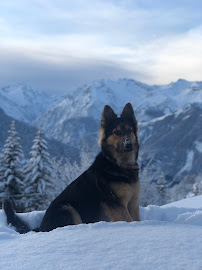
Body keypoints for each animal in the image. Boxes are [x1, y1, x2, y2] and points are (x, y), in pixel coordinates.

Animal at [2, 102, 140, 233]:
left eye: (129, 131)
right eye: (117, 132)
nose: (128, 144)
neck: (118, 165)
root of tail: (41, 227)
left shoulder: (133, 203)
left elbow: (136, 220)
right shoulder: (115, 204)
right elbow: (129, 220)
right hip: (67, 208)